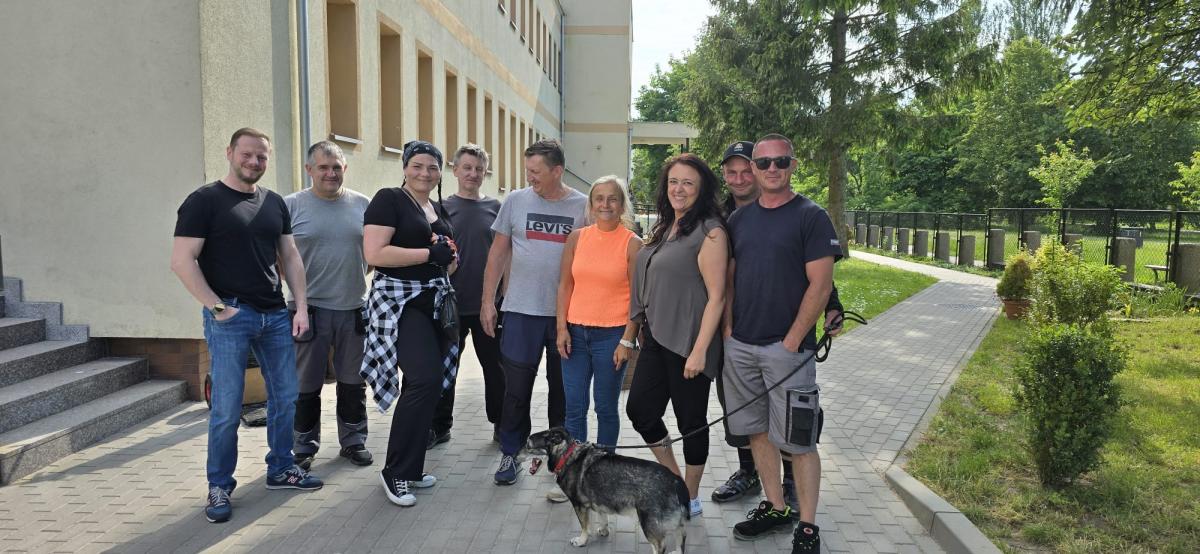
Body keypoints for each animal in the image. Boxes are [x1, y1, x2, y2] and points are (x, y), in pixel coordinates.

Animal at [522, 427, 689, 553]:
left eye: (528, 444)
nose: (515, 453)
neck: (567, 455)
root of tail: (676, 481)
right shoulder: (598, 499)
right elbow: (602, 516)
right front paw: (603, 529)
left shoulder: (579, 506)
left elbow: (584, 527)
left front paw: (581, 541)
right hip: (678, 525)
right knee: (681, 542)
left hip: (649, 524)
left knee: (660, 546)